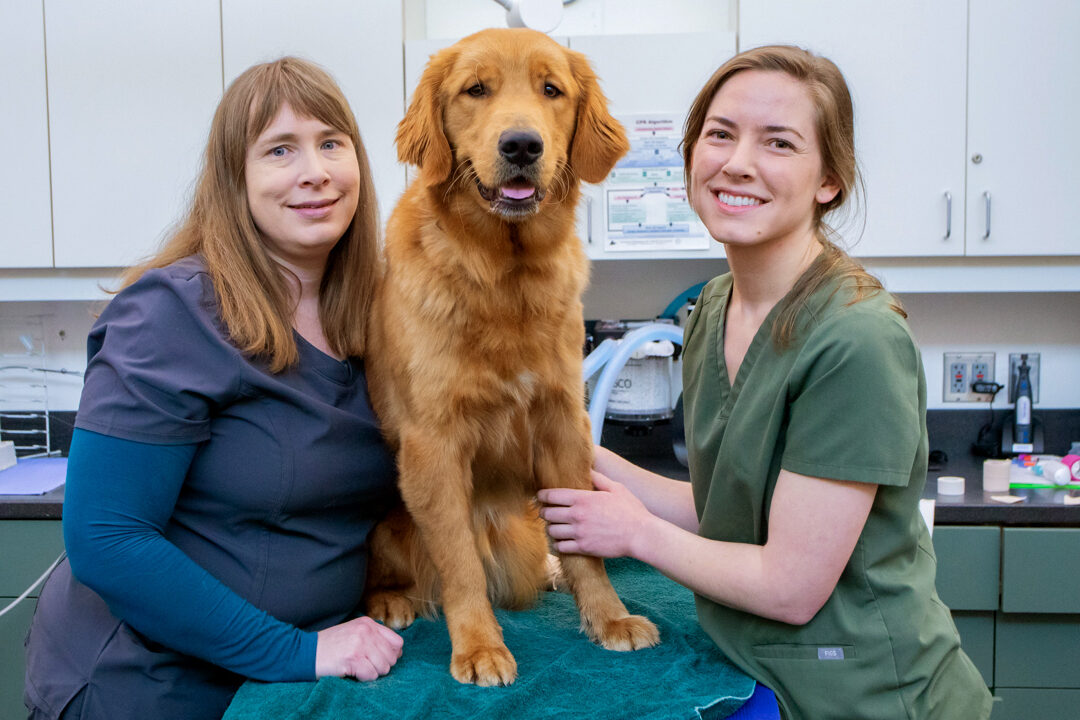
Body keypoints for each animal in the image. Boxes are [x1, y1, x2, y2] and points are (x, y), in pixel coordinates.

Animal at [365, 29, 656, 686]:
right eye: (476, 90)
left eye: (552, 89)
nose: (522, 144)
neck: (504, 276)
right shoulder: (433, 444)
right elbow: (460, 564)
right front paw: (478, 646)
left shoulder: (562, 423)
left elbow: (585, 548)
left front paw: (607, 617)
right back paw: (392, 600)